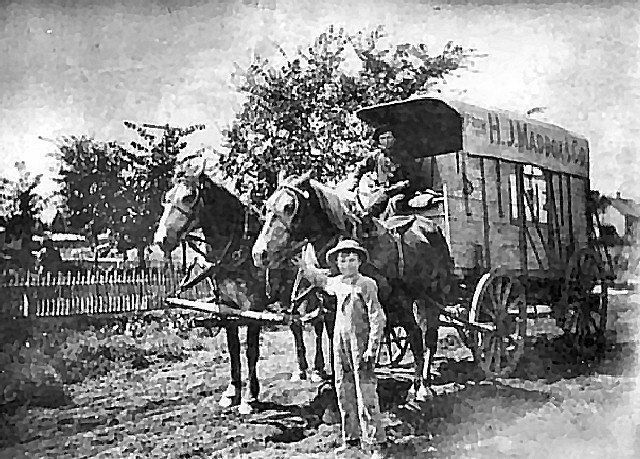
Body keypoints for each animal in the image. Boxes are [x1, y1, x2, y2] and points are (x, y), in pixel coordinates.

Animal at [152, 160, 333, 412]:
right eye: (167, 198)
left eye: (188, 197)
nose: (161, 240)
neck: (238, 247)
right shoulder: (226, 305)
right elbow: (233, 348)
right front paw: (232, 391)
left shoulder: (252, 307)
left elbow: (251, 350)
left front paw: (250, 397)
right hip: (287, 296)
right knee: (295, 325)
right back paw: (301, 370)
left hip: (313, 294)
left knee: (319, 323)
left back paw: (318, 369)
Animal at [251, 173, 454, 401]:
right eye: (267, 205)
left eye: (289, 206)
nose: (259, 254)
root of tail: (431, 227)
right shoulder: (331, 307)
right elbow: (335, 340)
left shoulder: (399, 302)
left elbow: (415, 338)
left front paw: (418, 388)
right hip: (420, 300)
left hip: (434, 295)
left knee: (428, 337)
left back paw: (424, 383)